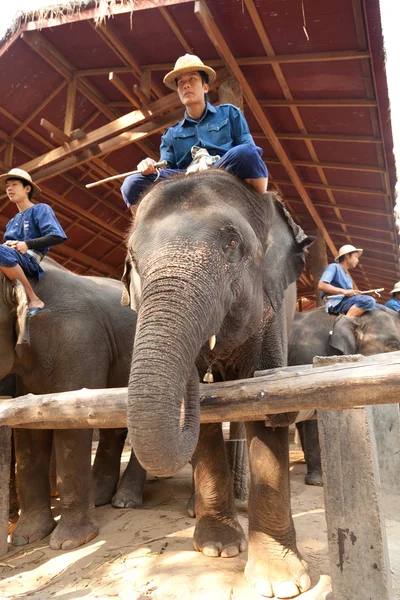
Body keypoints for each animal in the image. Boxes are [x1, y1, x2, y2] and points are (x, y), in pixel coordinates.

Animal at [0, 260, 145, 552]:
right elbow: (28, 428)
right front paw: (24, 538)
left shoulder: (78, 340)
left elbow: (71, 420)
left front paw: (69, 543)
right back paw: (100, 498)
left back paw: (124, 501)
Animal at [122, 170, 312, 600]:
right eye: (134, 261)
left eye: (232, 243)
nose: (202, 373)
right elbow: (207, 423)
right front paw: (217, 548)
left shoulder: (272, 308)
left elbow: (266, 407)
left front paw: (281, 582)